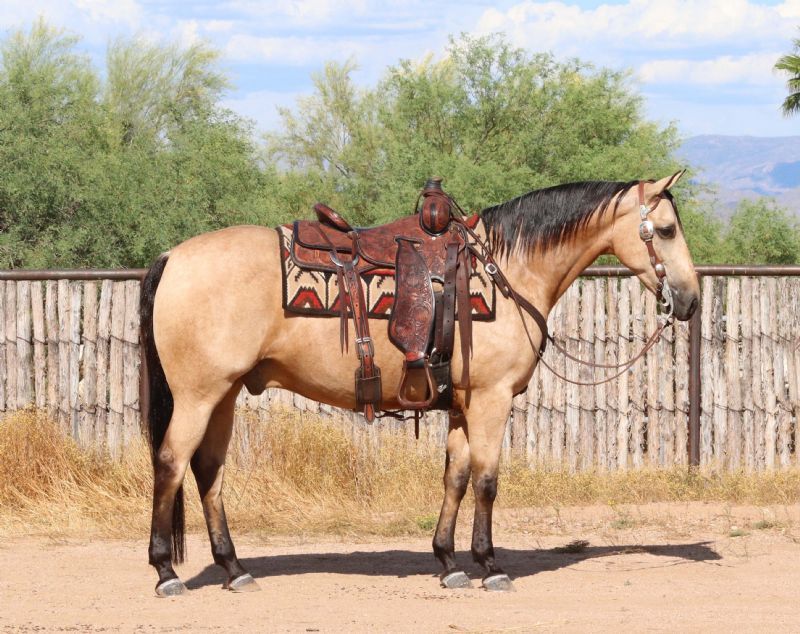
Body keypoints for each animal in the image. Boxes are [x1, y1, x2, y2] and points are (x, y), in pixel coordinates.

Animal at [140, 171, 699, 596]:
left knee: (208, 471)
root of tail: (172, 257)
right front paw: (489, 565)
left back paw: (235, 569)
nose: (691, 301)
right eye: (667, 229)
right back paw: (166, 571)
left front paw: (448, 561)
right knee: (170, 464)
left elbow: (455, 478)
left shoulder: (461, 405)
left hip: (225, 395)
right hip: (198, 395)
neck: (506, 271)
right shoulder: (492, 401)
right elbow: (487, 480)